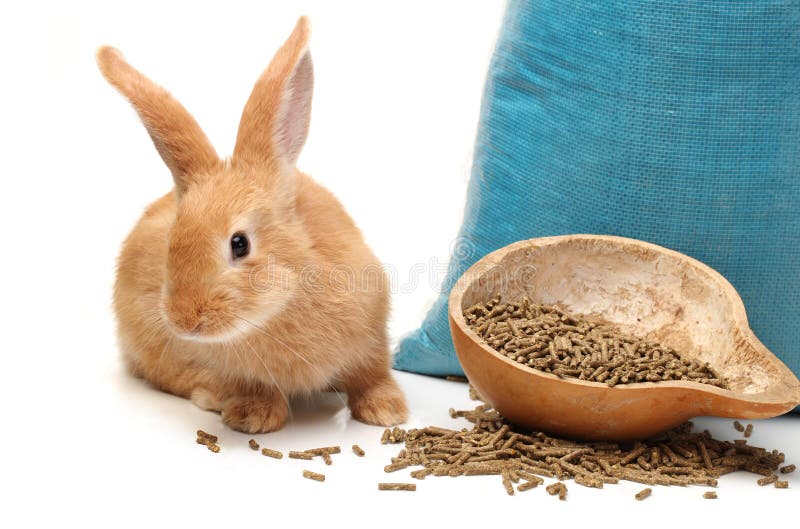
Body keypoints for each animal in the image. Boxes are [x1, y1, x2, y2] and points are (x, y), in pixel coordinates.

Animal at [97, 17, 408, 433]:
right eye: (171, 243)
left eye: (239, 243)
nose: (184, 321)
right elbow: (257, 389)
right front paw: (252, 417)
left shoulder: (371, 341)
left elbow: (373, 375)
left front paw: (386, 411)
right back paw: (212, 394)